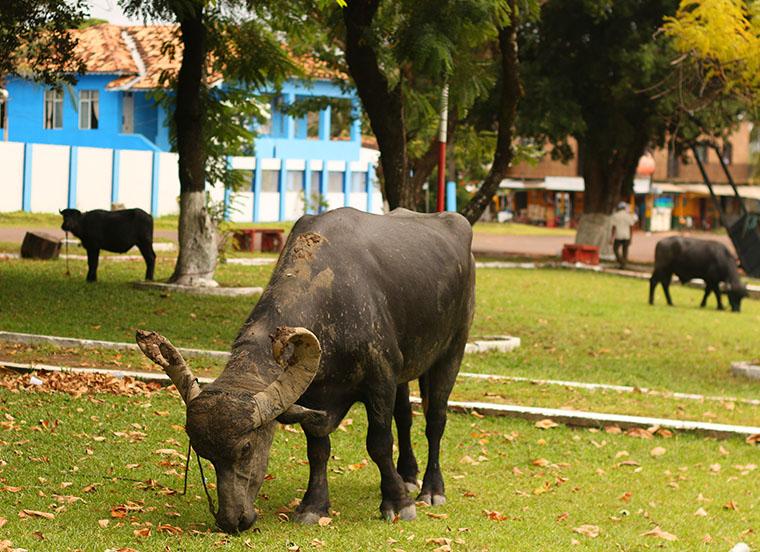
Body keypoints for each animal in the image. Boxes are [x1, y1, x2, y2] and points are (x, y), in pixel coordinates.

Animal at [134, 206, 472, 532]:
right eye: (204, 454)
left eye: (246, 448)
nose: (232, 520)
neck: (334, 299)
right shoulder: (313, 395)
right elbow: (318, 449)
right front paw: (313, 506)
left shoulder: (380, 380)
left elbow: (378, 443)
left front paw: (398, 503)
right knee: (404, 417)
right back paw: (408, 476)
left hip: (451, 350)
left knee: (435, 421)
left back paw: (431, 489)